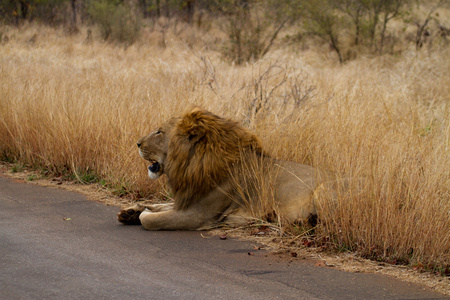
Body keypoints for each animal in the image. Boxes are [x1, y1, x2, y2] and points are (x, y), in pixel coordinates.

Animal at [117, 108, 342, 230]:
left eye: (159, 132)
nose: (137, 143)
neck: (192, 165)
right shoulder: (189, 198)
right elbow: (161, 204)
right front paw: (131, 211)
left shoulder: (197, 214)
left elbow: (151, 220)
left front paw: (142, 213)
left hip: (323, 190)